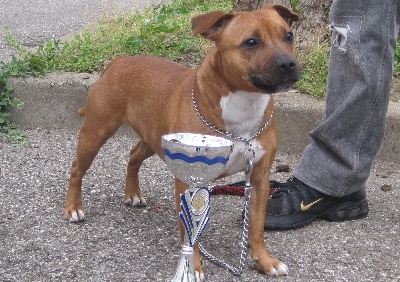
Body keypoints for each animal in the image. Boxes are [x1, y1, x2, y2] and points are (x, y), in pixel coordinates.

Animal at [64, 4, 298, 280]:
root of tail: (119, 60)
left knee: (133, 155)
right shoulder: (189, 180)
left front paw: (264, 261)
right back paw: (73, 208)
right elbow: (190, 232)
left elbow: (256, 226)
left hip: (153, 138)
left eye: (289, 36)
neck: (244, 106)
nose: (288, 63)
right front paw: (194, 267)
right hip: (96, 132)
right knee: (77, 168)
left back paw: (132, 193)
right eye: (251, 42)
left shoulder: (260, 178)